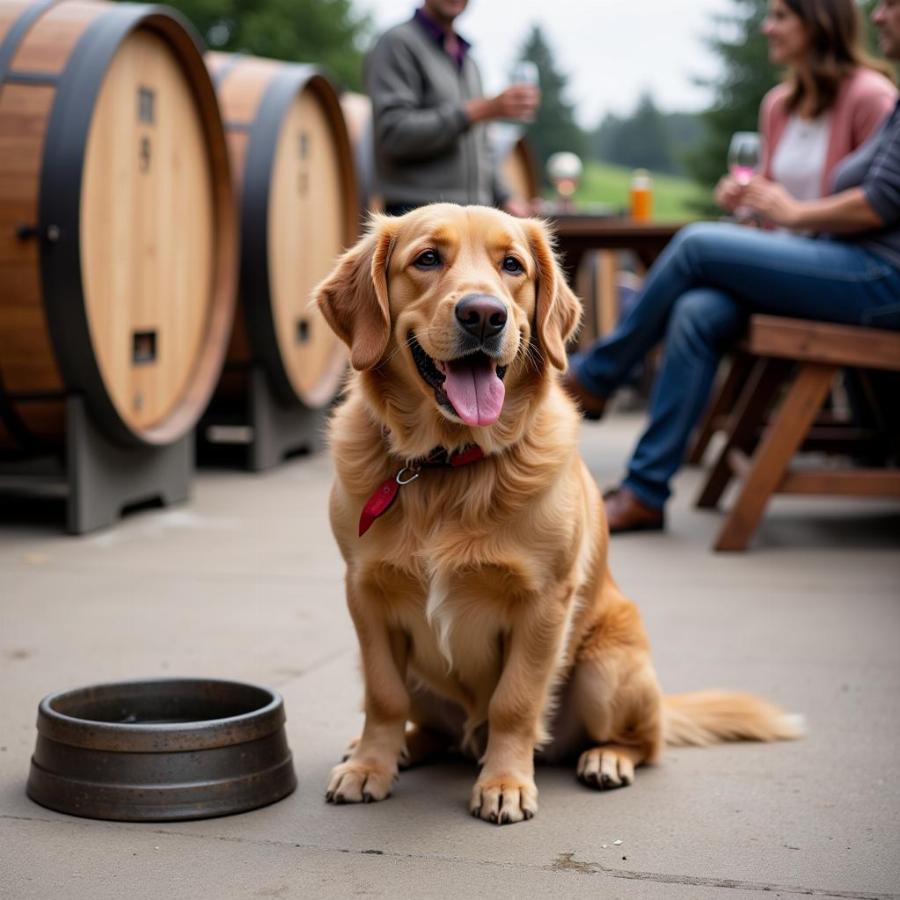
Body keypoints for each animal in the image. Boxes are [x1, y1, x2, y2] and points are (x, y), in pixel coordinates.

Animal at [314, 204, 800, 824]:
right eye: (426, 259)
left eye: (512, 266)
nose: (484, 315)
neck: (447, 464)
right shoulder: (365, 595)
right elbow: (383, 694)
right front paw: (369, 766)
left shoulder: (544, 602)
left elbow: (515, 701)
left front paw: (504, 782)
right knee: (432, 728)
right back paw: (400, 748)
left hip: (604, 669)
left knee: (645, 743)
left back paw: (606, 758)